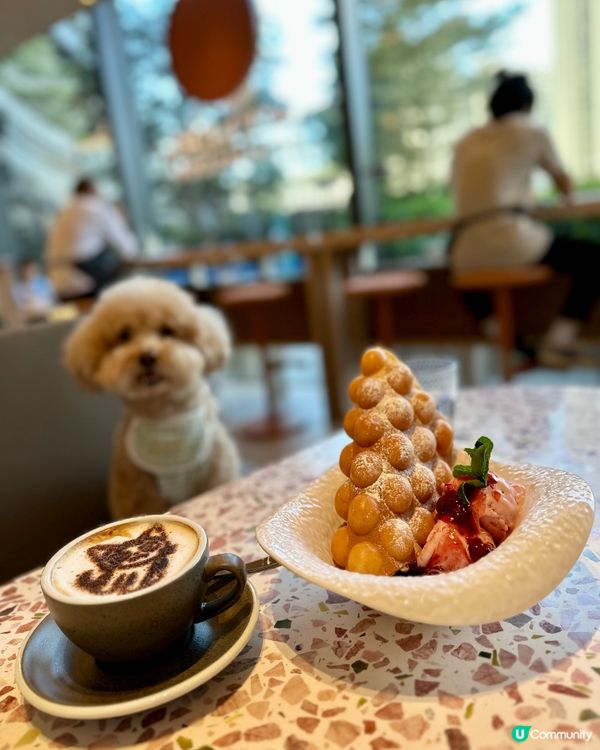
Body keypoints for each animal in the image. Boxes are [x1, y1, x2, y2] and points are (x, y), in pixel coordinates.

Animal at [66, 280, 241, 520]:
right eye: (124, 335)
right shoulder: (138, 491)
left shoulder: (217, 473)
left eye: (167, 331)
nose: (147, 356)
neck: (164, 415)